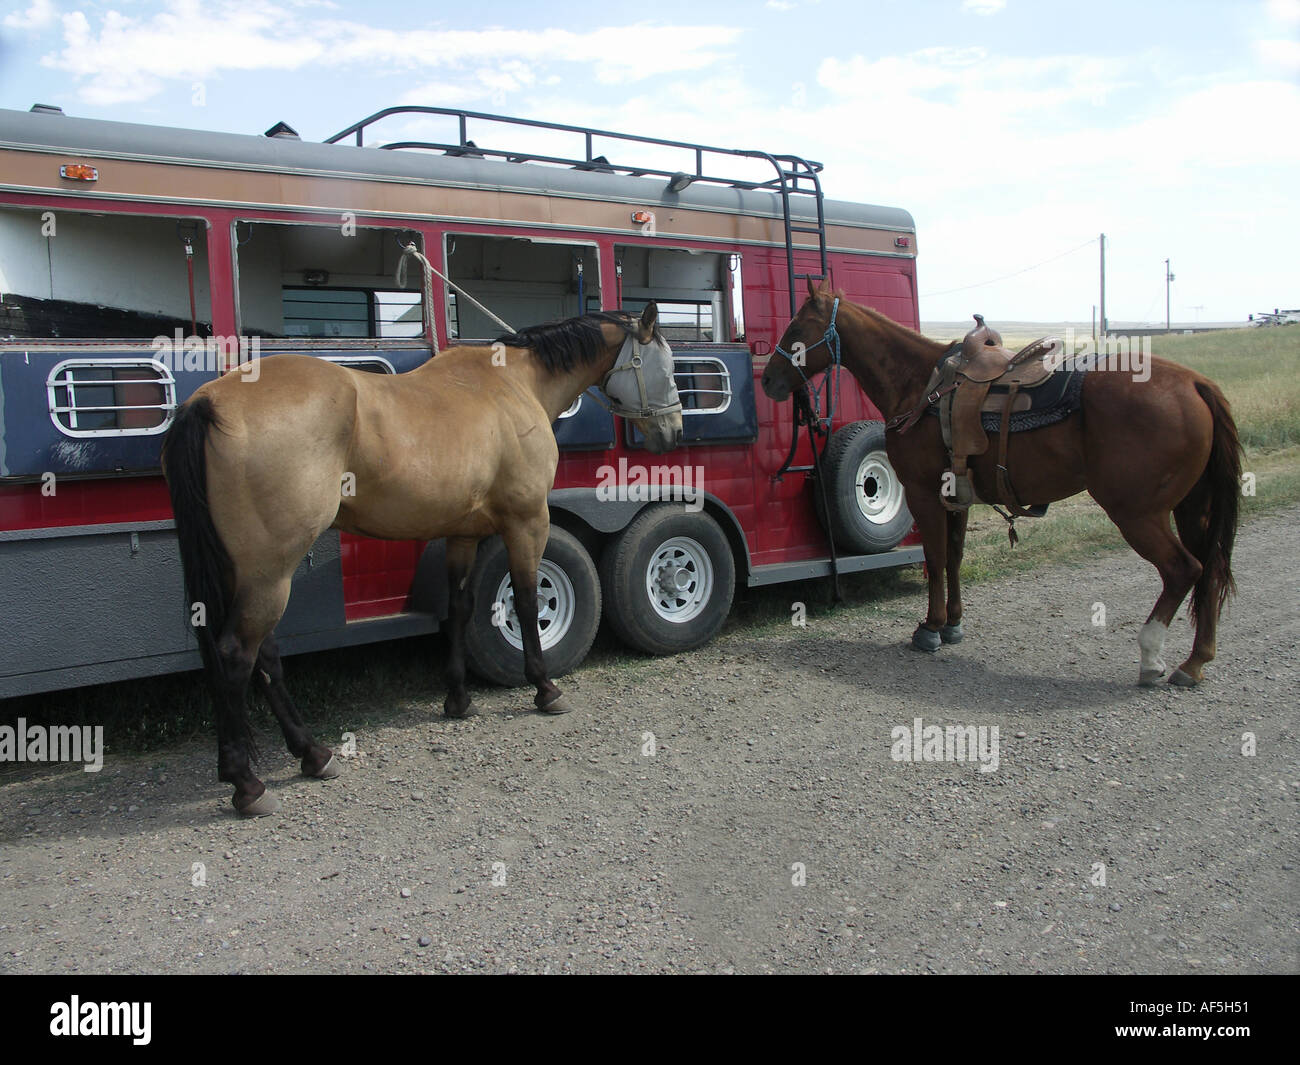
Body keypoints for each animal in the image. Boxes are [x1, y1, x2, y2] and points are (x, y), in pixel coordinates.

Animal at [161, 304, 682, 816]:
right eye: (666, 364)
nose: (674, 431)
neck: (514, 384)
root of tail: (208, 401)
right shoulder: (528, 522)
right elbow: (527, 601)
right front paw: (544, 688)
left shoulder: (462, 534)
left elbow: (459, 608)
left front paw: (458, 698)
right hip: (271, 571)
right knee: (238, 655)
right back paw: (248, 783)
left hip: (249, 573)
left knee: (263, 658)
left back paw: (313, 754)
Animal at [761, 280, 1242, 689]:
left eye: (798, 326)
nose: (767, 379)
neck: (918, 385)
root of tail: (1195, 382)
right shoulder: (955, 497)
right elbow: (953, 558)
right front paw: (953, 624)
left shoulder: (922, 493)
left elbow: (935, 558)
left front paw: (930, 628)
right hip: (1190, 508)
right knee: (1211, 567)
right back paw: (1194, 662)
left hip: (1138, 513)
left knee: (1184, 569)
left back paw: (1152, 658)